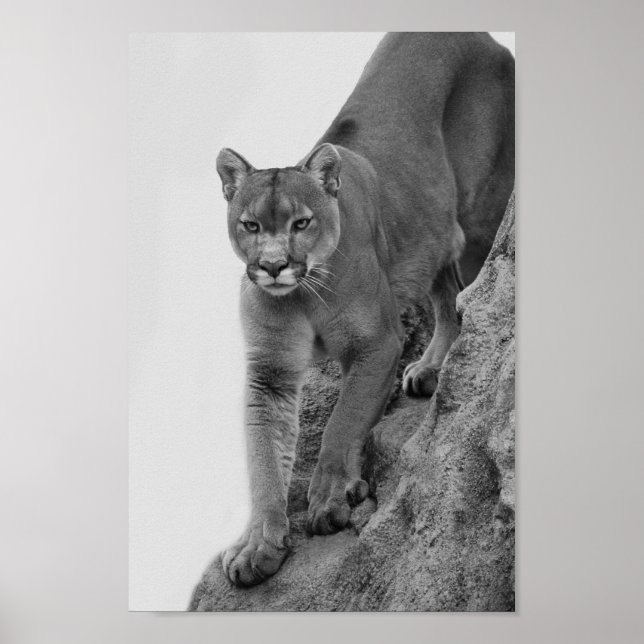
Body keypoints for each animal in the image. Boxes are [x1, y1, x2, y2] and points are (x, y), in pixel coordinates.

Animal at [215, 32, 514, 587]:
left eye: (302, 223)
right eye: (250, 225)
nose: (273, 266)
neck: (304, 294)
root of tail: (482, 36)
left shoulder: (377, 344)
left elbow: (342, 420)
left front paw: (331, 497)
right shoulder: (270, 372)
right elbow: (263, 457)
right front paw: (258, 543)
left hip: (484, 217)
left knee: (476, 296)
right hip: (426, 229)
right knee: (446, 298)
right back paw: (431, 368)